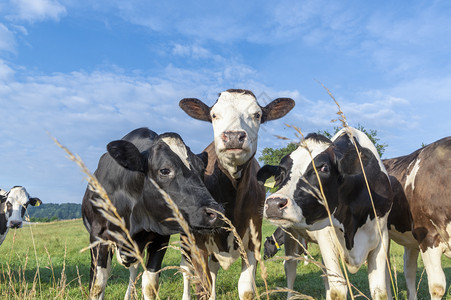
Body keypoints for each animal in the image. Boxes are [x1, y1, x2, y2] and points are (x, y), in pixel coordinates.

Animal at [82, 127, 225, 300]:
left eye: (202, 169)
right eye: (164, 170)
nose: (216, 212)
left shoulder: (160, 238)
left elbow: (150, 285)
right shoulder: (98, 236)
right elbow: (97, 285)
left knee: (135, 268)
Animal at [180, 89, 296, 300]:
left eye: (257, 115)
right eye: (214, 115)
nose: (233, 136)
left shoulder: (253, 238)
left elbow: (246, 289)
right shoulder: (197, 244)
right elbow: (202, 286)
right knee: (186, 270)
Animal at [258, 127, 396, 300]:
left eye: (323, 168)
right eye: (281, 171)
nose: (273, 203)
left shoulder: (381, 237)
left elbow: (380, 291)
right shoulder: (326, 238)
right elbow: (338, 289)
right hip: (290, 232)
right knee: (290, 267)